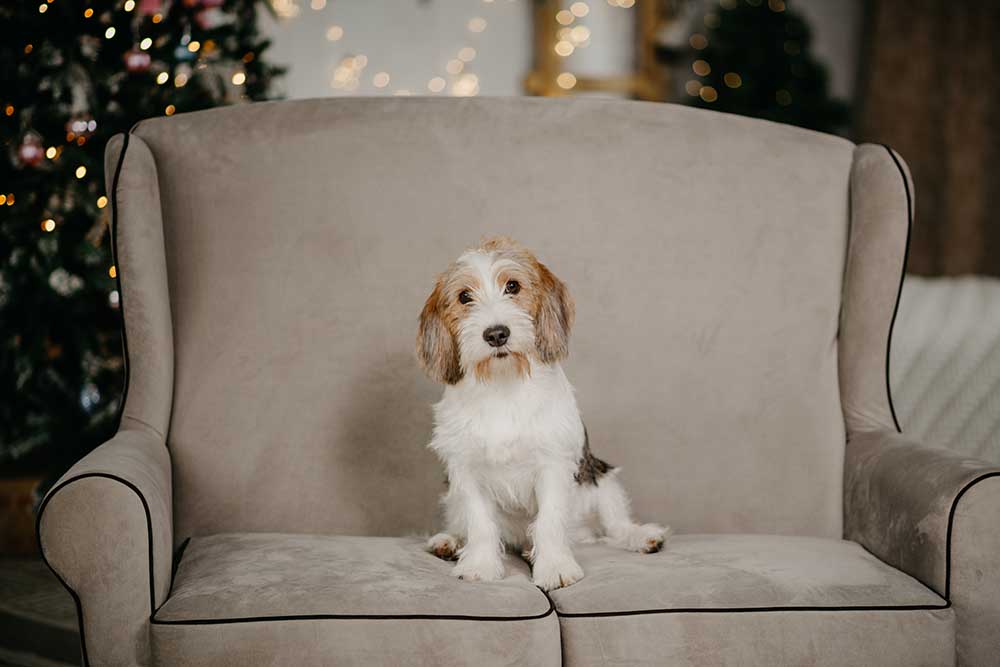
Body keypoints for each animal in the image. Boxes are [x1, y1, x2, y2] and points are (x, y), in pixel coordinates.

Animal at [416, 237, 672, 592]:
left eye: (512, 286)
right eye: (464, 296)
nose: (496, 334)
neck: (503, 384)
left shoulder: (553, 464)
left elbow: (549, 521)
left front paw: (555, 567)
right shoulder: (465, 470)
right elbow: (479, 523)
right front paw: (480, 565)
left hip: (602, 480)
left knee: (614, 527)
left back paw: (642, 536)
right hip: (452, 496)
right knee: (464, 524)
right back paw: (449, 541)